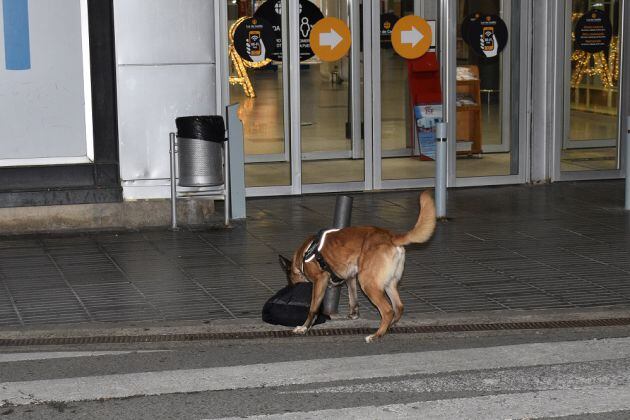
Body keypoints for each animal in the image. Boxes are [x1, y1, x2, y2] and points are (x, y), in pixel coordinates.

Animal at [278, 190, 436, 342]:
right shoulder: (351, 278)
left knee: (388, 310)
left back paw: (376, 335)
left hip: (367, 282)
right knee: (398, 307)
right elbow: (353, 299)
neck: (303, 255)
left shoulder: (320, 280)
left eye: (290, 282)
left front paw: (304, 327)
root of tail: (391, 237)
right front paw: (353, 315)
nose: (290, 287)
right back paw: (387, 328)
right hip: (388, 283)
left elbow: (313, 308)